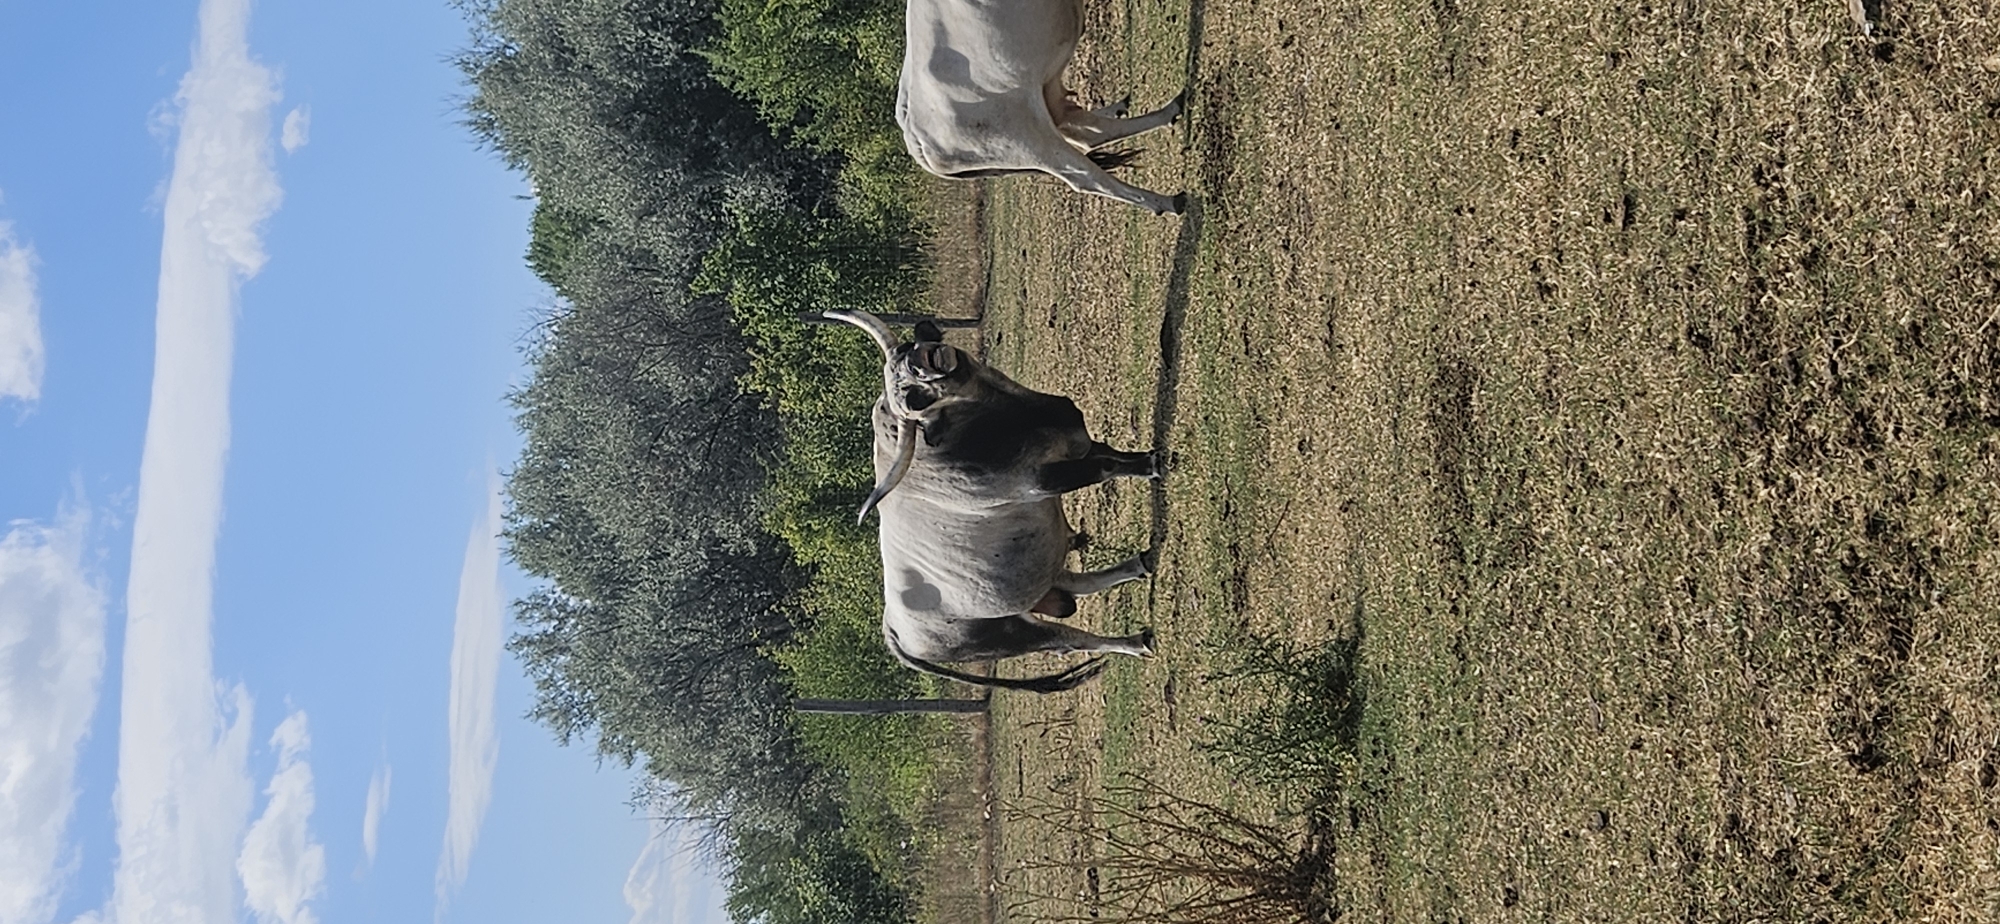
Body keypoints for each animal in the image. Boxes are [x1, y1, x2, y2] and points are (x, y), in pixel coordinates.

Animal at [822, 309, 1163, 693]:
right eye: (914, 401)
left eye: (909, 347)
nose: (920, 363)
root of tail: (893, 630)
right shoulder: (1044, 480)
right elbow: (1105, 467)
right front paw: (1153, 465)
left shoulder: (1078, 444)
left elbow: (1112, 455)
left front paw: (1146, 460)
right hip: (1006, 635)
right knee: (1068, 640)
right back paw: (1135, 641)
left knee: (1073, 582)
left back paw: (1140, 564)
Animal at [896, 0, 1189, 215]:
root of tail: (914, 134)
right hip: (1026, 140)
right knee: (1084, 174)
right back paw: (1167, 201)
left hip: (1045, 94)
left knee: (1087, 131)